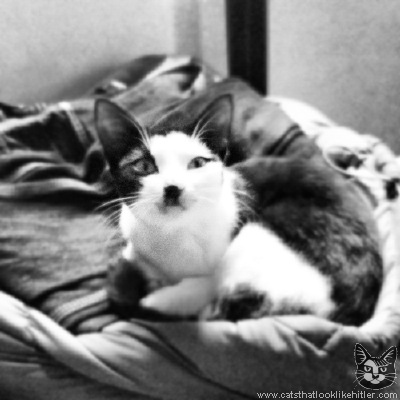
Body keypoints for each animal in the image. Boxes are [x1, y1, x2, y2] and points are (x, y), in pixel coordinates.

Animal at [95, 94, 382, 325]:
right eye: (143, 166)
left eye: (197, 163)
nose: (173, 187)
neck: (172, 235)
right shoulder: (135, 244)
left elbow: (193, 290)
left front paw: (153, 298)